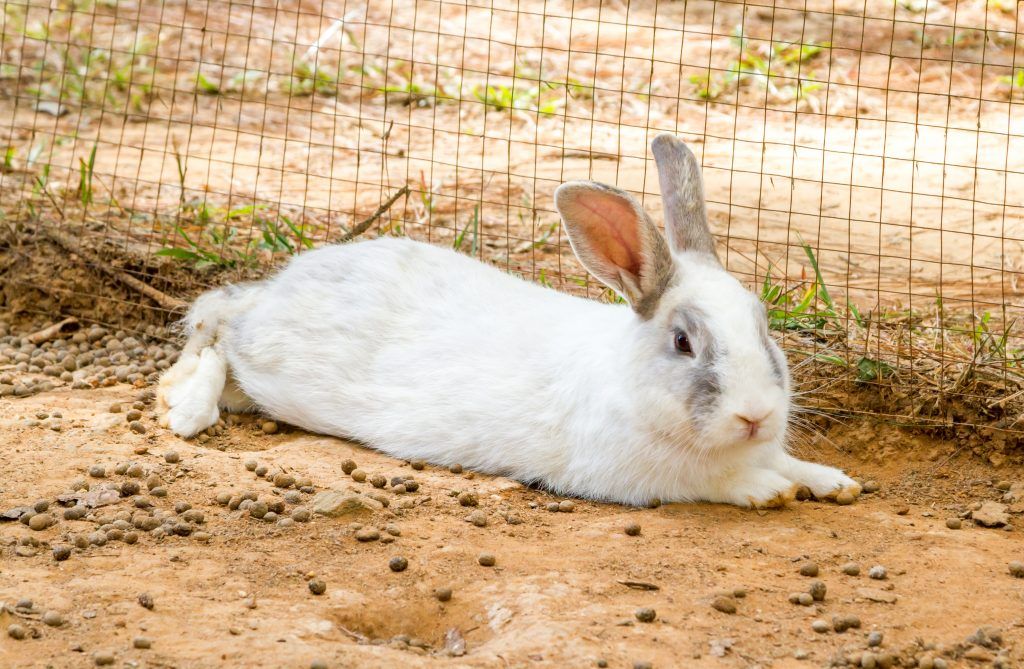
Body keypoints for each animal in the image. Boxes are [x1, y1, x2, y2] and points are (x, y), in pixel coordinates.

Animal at [159, 133, 860, 506]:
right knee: (219, 333)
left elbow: (792, 465)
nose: (755, 415)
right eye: (684, 342)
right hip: (266, 359)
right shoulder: (645, 476)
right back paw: (187, 410)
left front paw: (835, 483)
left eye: (764, 327)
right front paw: (768, 491)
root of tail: (280, 287)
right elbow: (727, 481)